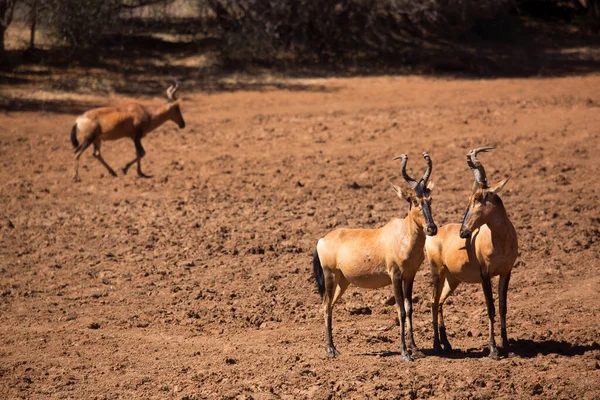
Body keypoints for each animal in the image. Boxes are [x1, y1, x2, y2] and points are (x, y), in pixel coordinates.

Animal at [314, 152, 436, 360]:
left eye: (429, 199)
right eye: (414, 200)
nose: (431, 228)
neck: (402, 235)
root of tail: (322, 240)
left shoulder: (410, 276)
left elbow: (409, 308)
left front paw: (415, 349)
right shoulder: (395, 275)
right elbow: (400, 310)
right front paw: (404, 353)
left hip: (343, 281)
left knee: (330, 305)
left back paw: (334, 348)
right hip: (330, 276)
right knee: (325, 305)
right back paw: (330, 350)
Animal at [424, 147, 516, 360]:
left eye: (478, 198)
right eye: (470, 198)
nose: (464, 232)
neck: (500, 242)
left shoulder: (506, 272)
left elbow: (502, 307)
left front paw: (507, 347)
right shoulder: (485, 275)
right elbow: (490, 308)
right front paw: (493, 350)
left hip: (453, 279)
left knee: (440, 302)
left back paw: (447, 344)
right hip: (437, 273)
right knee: (433, 301)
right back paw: (437, 345)